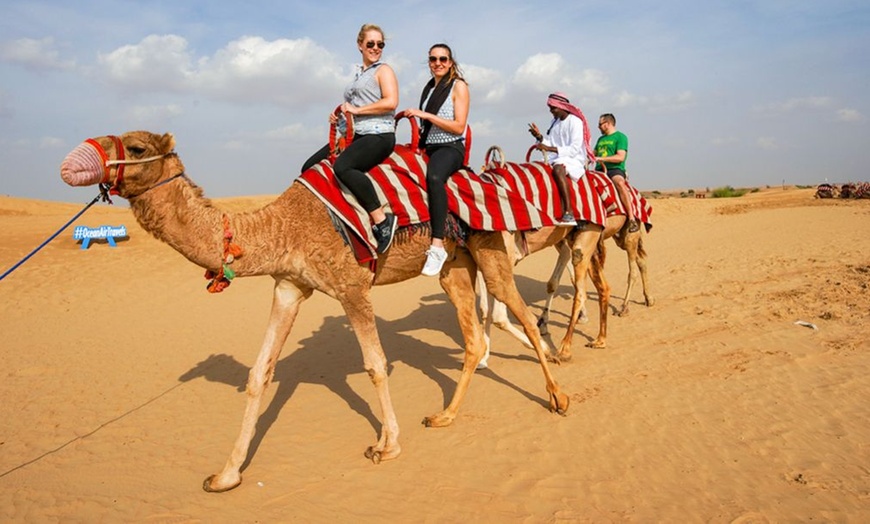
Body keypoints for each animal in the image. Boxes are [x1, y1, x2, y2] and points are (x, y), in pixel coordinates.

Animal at [63, 130, 584, 492]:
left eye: (134, 146)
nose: (74, 161)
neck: (280, 226)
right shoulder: (289, 287)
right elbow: (259, 373)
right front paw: (226, 474)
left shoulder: (351, 286)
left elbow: (374, 365)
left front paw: (387, 445)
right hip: (454, 263)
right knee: (474, 337)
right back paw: (445, 417)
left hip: (490, 247)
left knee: (518, 314)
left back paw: (558, 396)